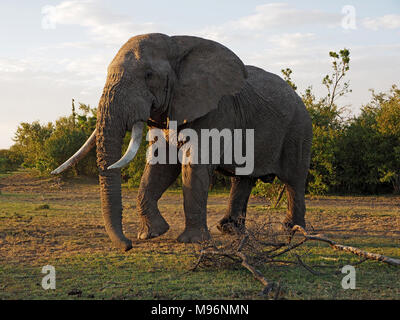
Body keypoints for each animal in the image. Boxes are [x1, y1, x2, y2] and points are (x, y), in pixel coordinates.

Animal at [50, 33, 312, 251]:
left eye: (149, 75)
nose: (128, 246)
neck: (176, 45)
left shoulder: (215, 108)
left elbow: (193, 164)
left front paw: (191, 241)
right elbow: (160, 165)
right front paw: (152, 234)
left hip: (299, 128)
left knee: (294, 180)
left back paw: (293, 231)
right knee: (242, 178)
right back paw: (230, 231)